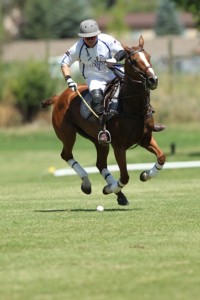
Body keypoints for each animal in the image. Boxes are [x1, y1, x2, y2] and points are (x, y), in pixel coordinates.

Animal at [41, 34, 166, 204]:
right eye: (134, 61)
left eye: (149, 56)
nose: (153, 80)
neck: (132, 107)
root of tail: (59, 96)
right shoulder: (119, 146)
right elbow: (125, 177)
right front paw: (109, 188)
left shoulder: (145, 139)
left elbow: (162, 157)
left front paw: (145, 175)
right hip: (68, 134)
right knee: (66, 155)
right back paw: (88, 184)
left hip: (99, 141)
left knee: (100, 164)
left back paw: (119, 194)